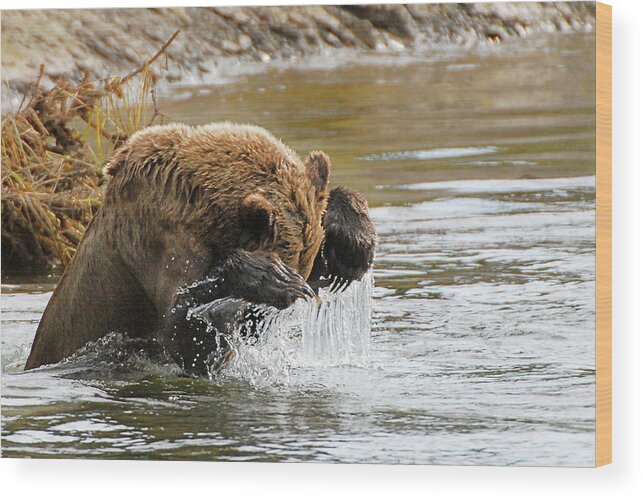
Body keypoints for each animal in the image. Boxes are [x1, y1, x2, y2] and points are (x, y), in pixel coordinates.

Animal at [26, 123, 378, 376]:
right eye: (258, 309)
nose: (254, 332)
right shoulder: (157, 236)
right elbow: (181, 329)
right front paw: (273, 279)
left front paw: (350, 247)